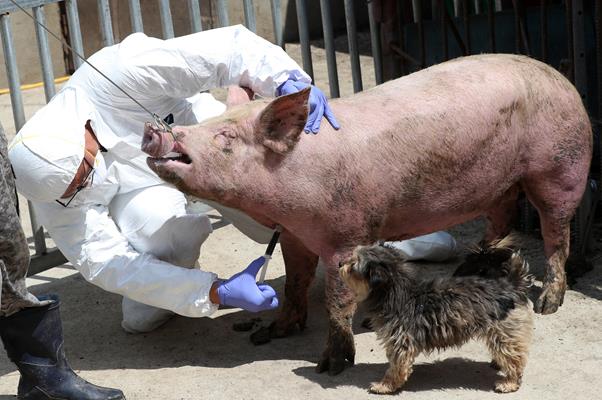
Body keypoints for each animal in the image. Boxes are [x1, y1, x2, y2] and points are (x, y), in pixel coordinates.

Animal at [141, 53, 592, 376]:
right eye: (215, 120)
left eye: (225, 137)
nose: (156, 130)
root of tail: (560, 75)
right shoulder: (295, 234)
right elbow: (296, 281)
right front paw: (271, 333)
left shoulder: (346, 234)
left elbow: (338, 300)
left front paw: (329, 366)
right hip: (499, 184)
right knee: (502, 218)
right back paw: (471, 267)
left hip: (560, 166)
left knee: (557, 231)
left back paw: (548, 305)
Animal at [340, 238, 532, 394]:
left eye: (353, 265)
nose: (340, 262)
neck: (395, 291)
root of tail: (510, 284)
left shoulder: (400, 342)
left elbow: (396, 367)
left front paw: (385, 386)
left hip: (503, 332)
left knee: (514, 359)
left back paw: (510, 382)